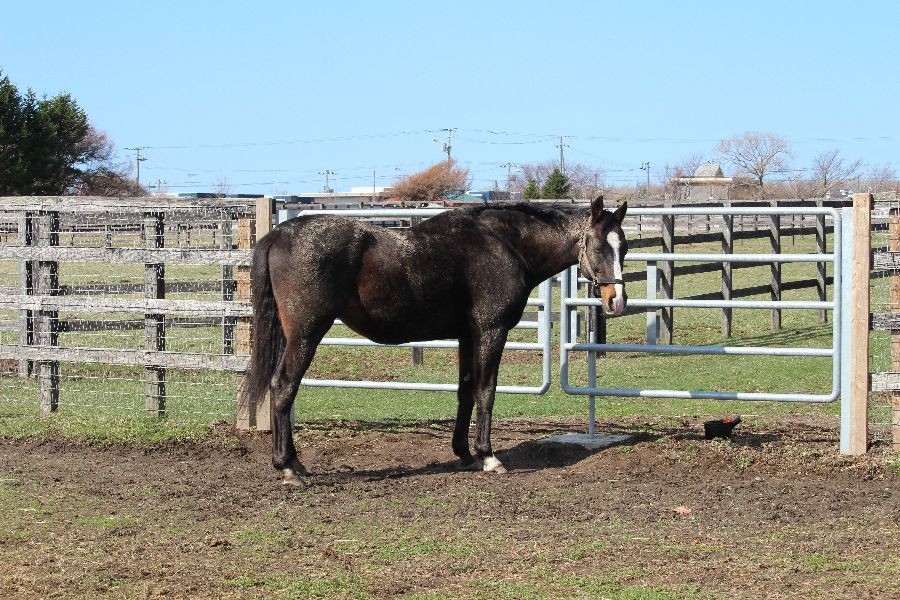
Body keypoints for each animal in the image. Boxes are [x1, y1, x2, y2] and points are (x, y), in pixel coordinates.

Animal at [242, 196, 628, 485]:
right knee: (283, 387)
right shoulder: (491, 331)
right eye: (598, 246)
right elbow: (486, 390)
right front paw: (488, 456)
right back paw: (288, 467)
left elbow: (466, 390)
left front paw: (465, 453)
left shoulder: (467, 335)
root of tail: (280, 234)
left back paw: (294, 464)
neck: (504, 245)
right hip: (306, 334)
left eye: (623, 247)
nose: (617, 302)